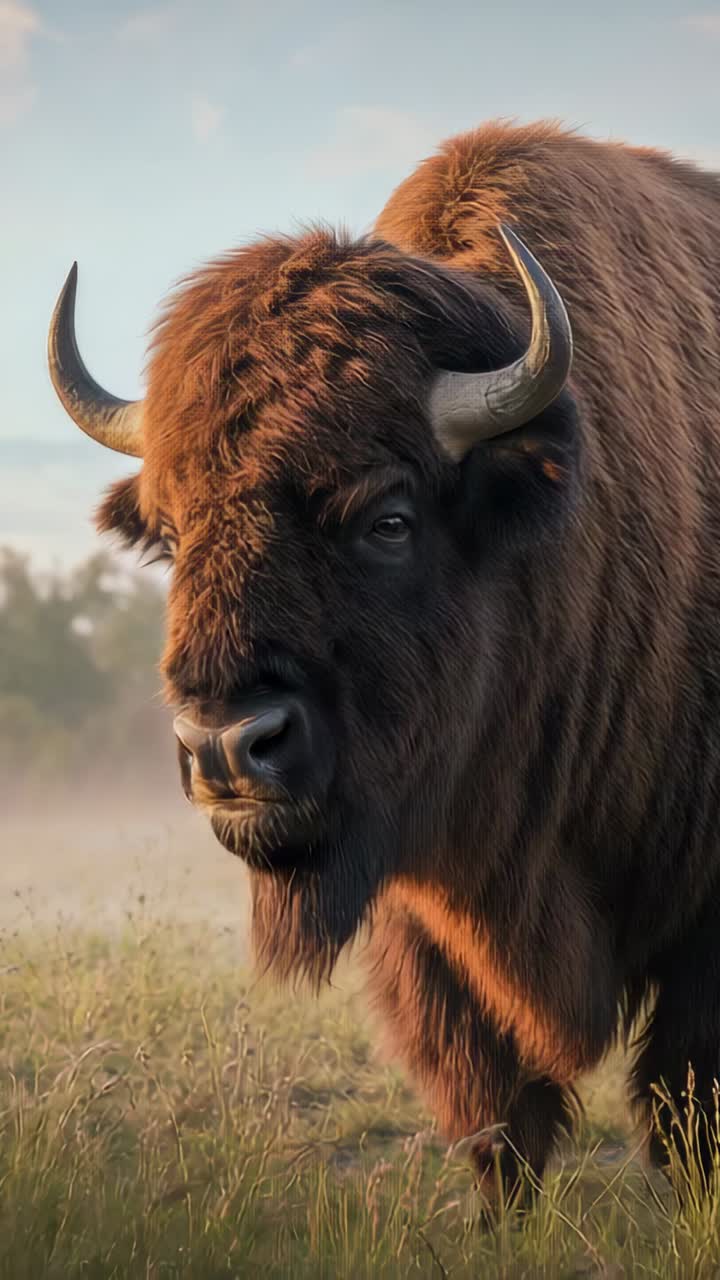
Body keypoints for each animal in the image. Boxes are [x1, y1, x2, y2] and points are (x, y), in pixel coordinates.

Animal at [48, 120, 720, 1200]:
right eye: (173, 532)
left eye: (388, 518)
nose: (230, 746)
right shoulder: (429, 922)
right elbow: (496, 1115)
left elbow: (686, 1105)